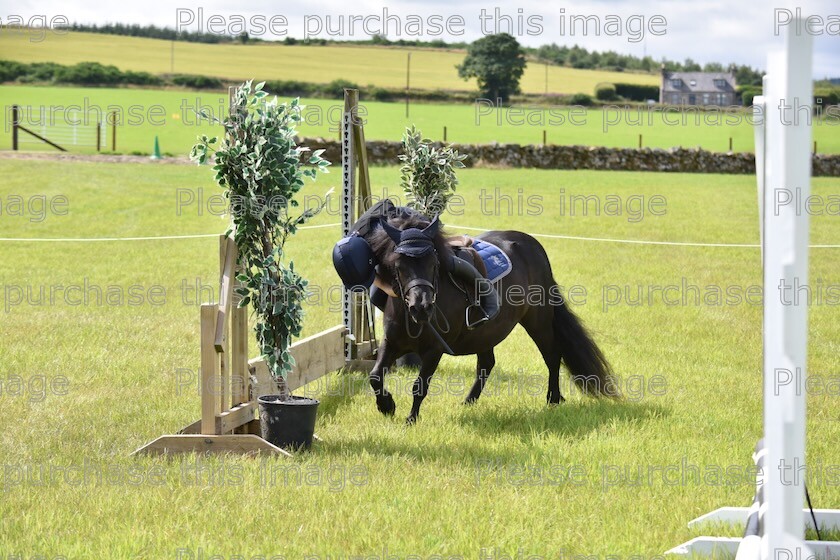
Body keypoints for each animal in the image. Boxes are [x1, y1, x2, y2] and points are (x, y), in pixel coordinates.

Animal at [368, 212, 616, 422]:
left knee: (552, 355)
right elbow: (375, 376)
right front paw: (386, 406)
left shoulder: (434, 350)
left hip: (538, 321)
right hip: (485, 332)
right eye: (398, 265)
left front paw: (411, 419)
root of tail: (532, 244)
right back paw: (468, 402)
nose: (422, 307)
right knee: (487, 364)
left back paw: (553, 399)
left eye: (434, 263)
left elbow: (419, 386)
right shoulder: (391, 343)